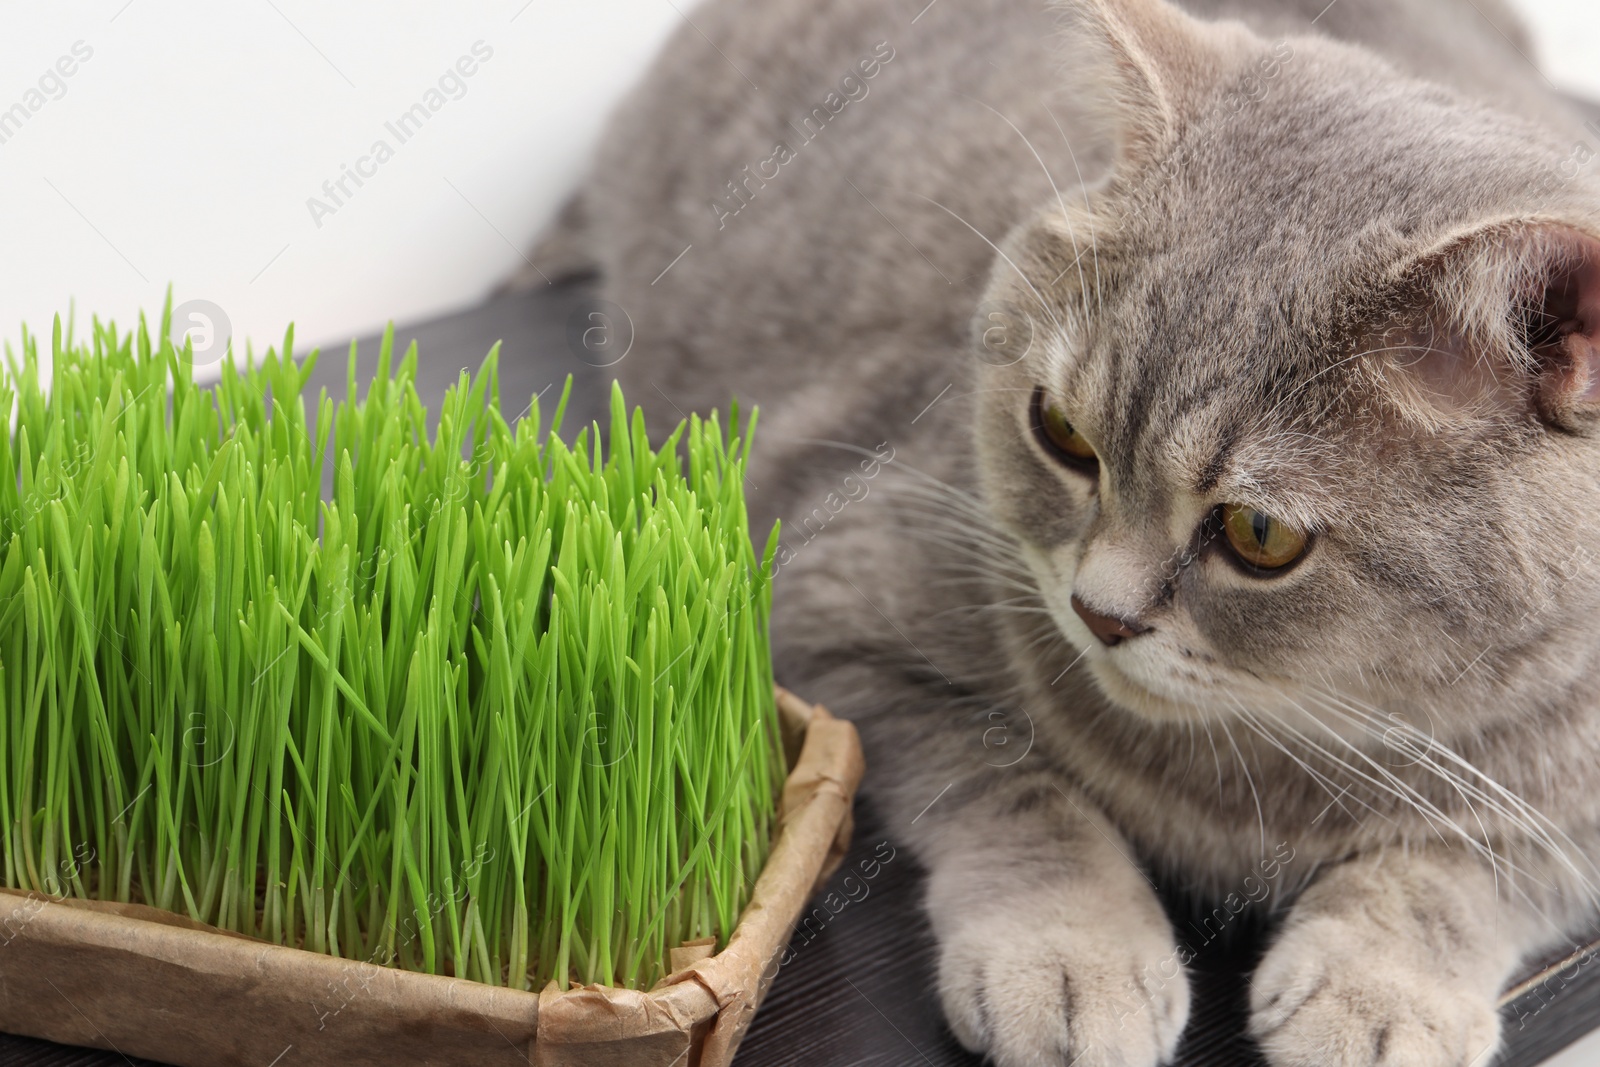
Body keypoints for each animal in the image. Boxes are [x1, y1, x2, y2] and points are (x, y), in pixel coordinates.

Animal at [560, 0, 1600, 1062]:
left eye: (1260, 532)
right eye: (1060, 430)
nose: (1099, 612)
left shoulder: (1574, 791)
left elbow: (1469, 863)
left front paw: (1379, 993)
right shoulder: (830, 607)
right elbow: (1012, 783)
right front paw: (1071, 955)